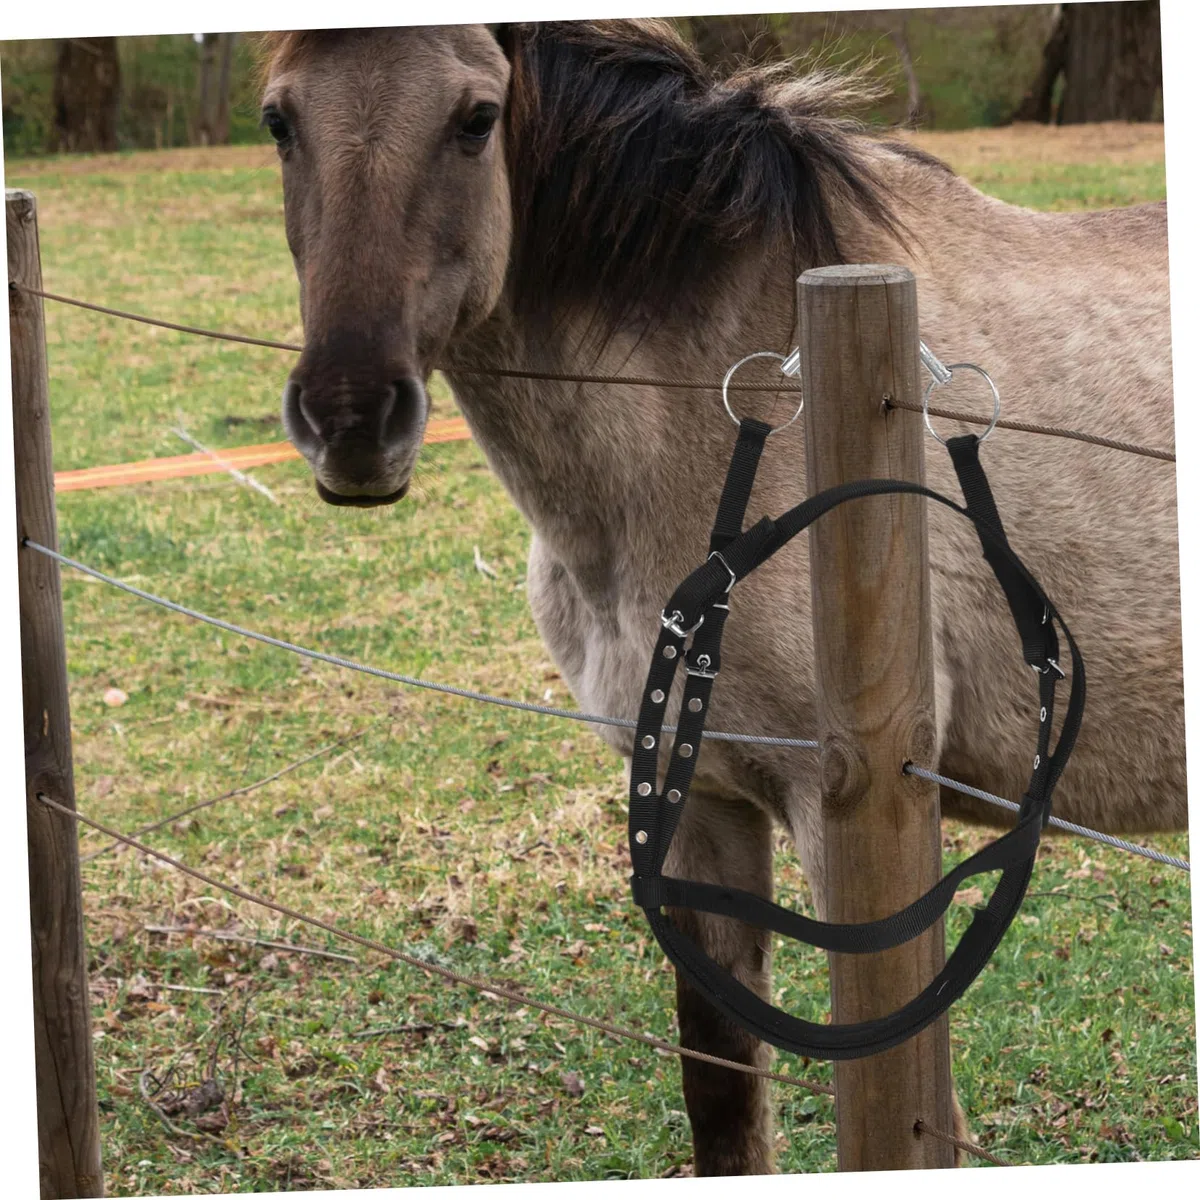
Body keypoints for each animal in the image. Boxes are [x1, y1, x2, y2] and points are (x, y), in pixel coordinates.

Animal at [257, 20, 1184, 1176]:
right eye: (278, 119)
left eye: (476, 118)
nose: (349, 420)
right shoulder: (697, 803)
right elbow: (723, 1090)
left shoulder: (852, 821)